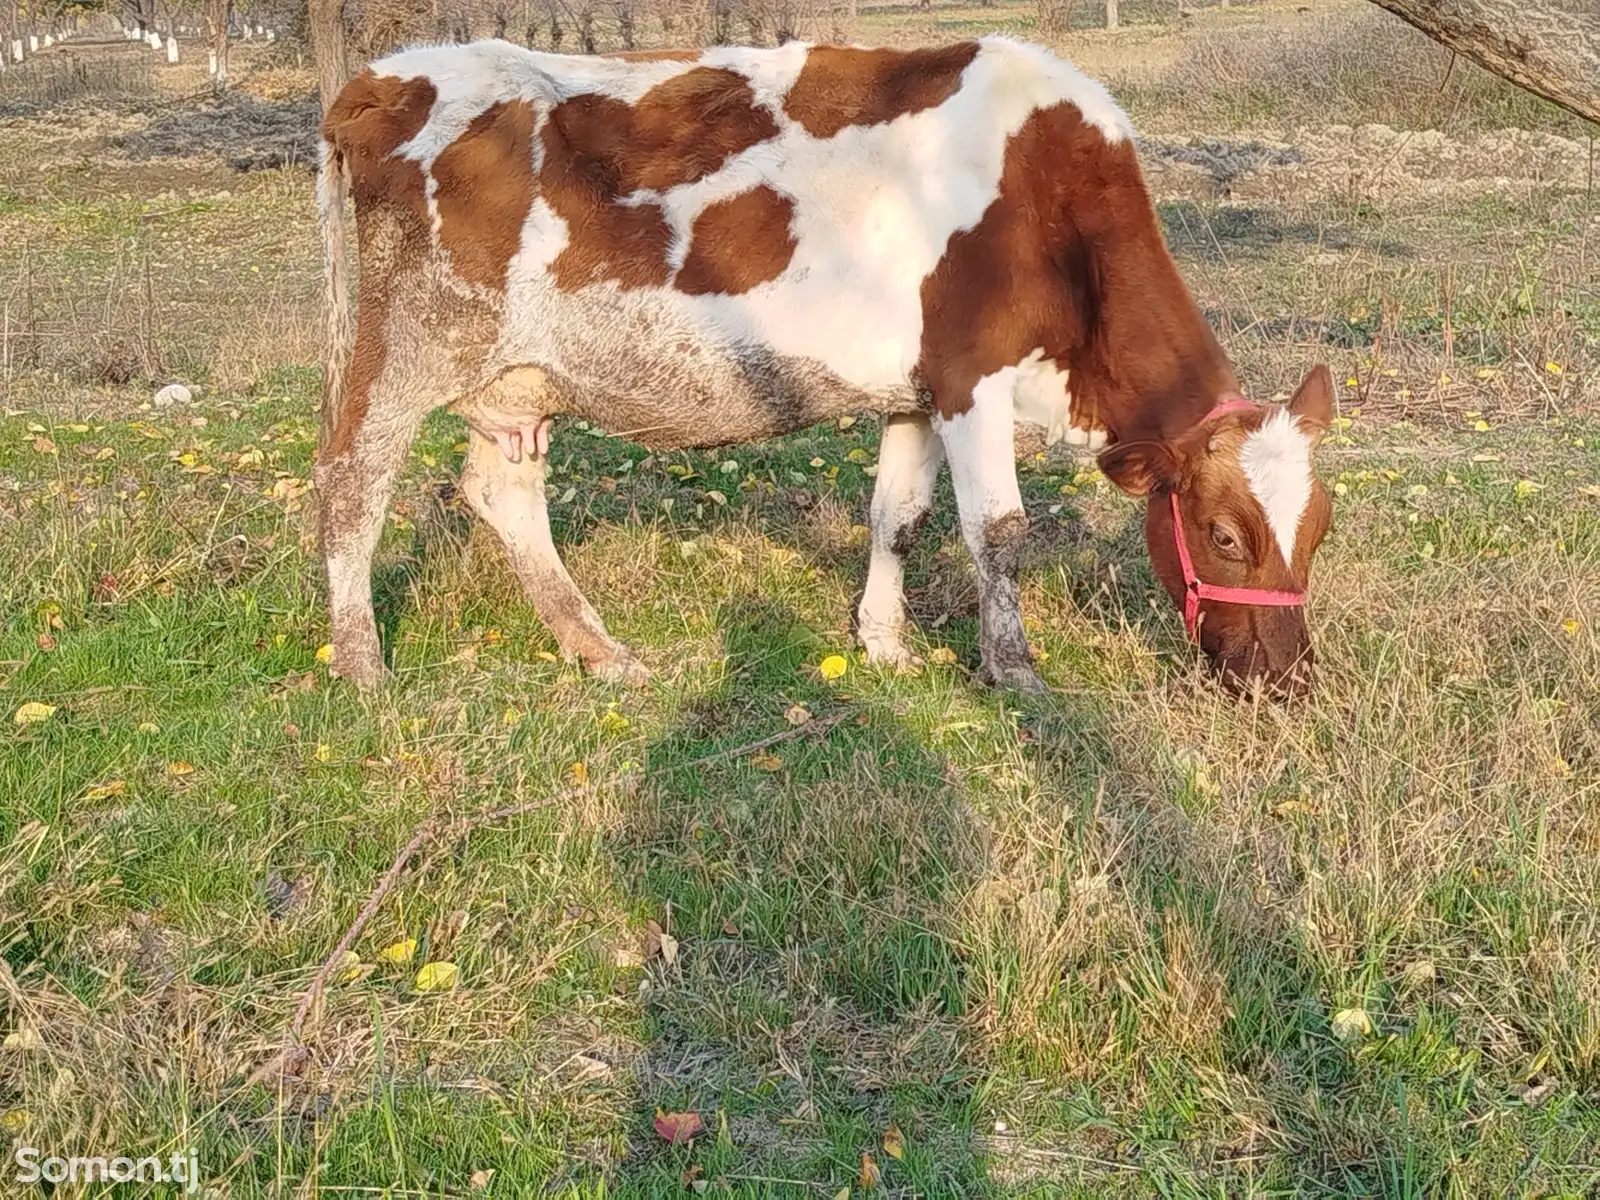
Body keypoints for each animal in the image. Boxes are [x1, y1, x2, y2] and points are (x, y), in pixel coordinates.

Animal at [315, 37, 1337, 700]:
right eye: (1224, 534)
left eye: (1319, 533)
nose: (1287, 677)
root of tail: (380, 75)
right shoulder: (973, 378)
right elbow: (999, 532)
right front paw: (1014, 670)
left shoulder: (917, 390)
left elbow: (899, 516)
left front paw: (882, 645)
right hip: (407, 343)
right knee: (351, 485)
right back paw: (363, 670)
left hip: (520, 374)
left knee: (503, 493)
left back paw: (600, 650)